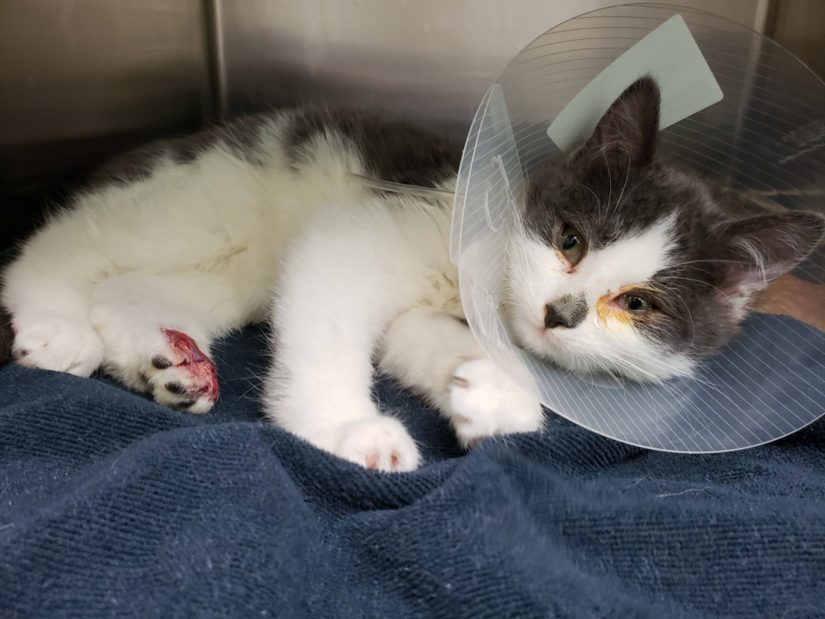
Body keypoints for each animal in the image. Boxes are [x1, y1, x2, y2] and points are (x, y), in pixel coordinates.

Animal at [1, 80, 824, 472]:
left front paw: (491, 396)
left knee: (128, 288)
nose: (560, 312)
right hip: (197, 201)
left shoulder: (421, 312)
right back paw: (55, 325)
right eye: (570, 240)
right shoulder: (358, 234)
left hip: (228, 268)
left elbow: (417, 337)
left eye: (640, 304)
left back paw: (167, 363)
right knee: (58, 249)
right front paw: (344, 427)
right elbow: (334, 320)